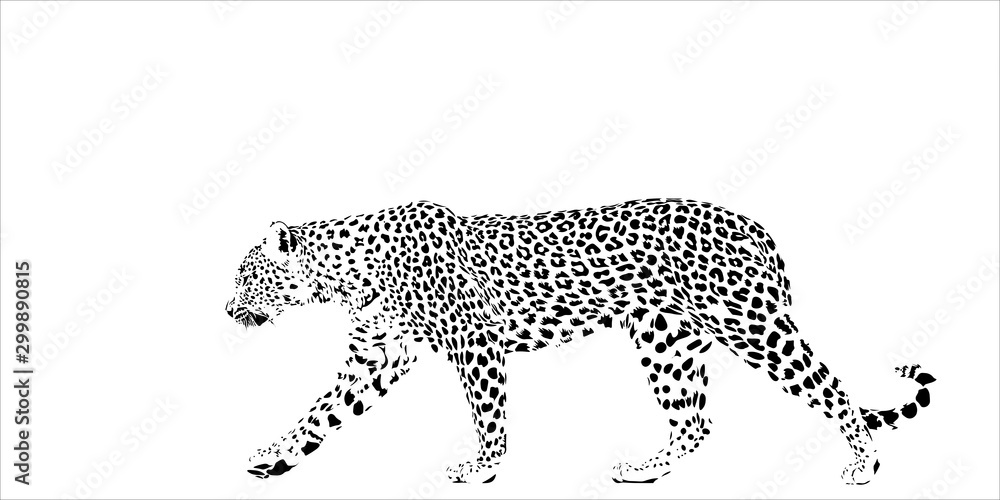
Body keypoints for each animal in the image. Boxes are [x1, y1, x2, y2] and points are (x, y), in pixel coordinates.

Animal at [225, 198, 935, 485]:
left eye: (245, 275)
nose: (227, 309)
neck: (349, 273)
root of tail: (756, 223)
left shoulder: (475, 343)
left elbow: (488, 415)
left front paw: (482, 468)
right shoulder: (376, 356)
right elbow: (320, 414)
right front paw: (272, 457)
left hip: (753, 327)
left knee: (830, 387)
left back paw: (863, 465)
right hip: (666, 341)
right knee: (696, 422)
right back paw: (646, 469)